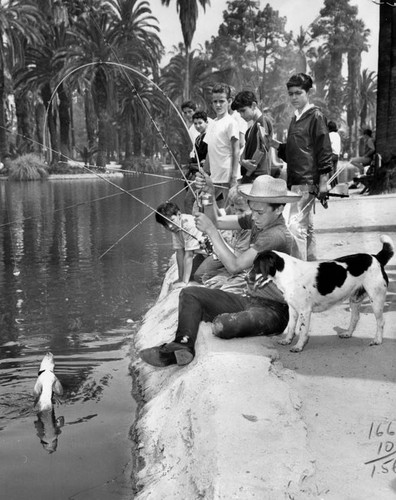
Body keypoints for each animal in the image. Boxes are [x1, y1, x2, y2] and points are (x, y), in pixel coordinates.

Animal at [248, 235, 392, 352]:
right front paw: (287, 340)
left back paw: (377, 340)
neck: (288, 273)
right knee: (356, 317)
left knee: (381, 322)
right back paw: (348, 333)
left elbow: (302, 331)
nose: (246, 277)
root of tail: (376, 257)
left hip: (376, 299)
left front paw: (298, 346)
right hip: (355, 299)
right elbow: (291, 327)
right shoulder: (293, 309)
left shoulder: (305, 311)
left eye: (256, 266)